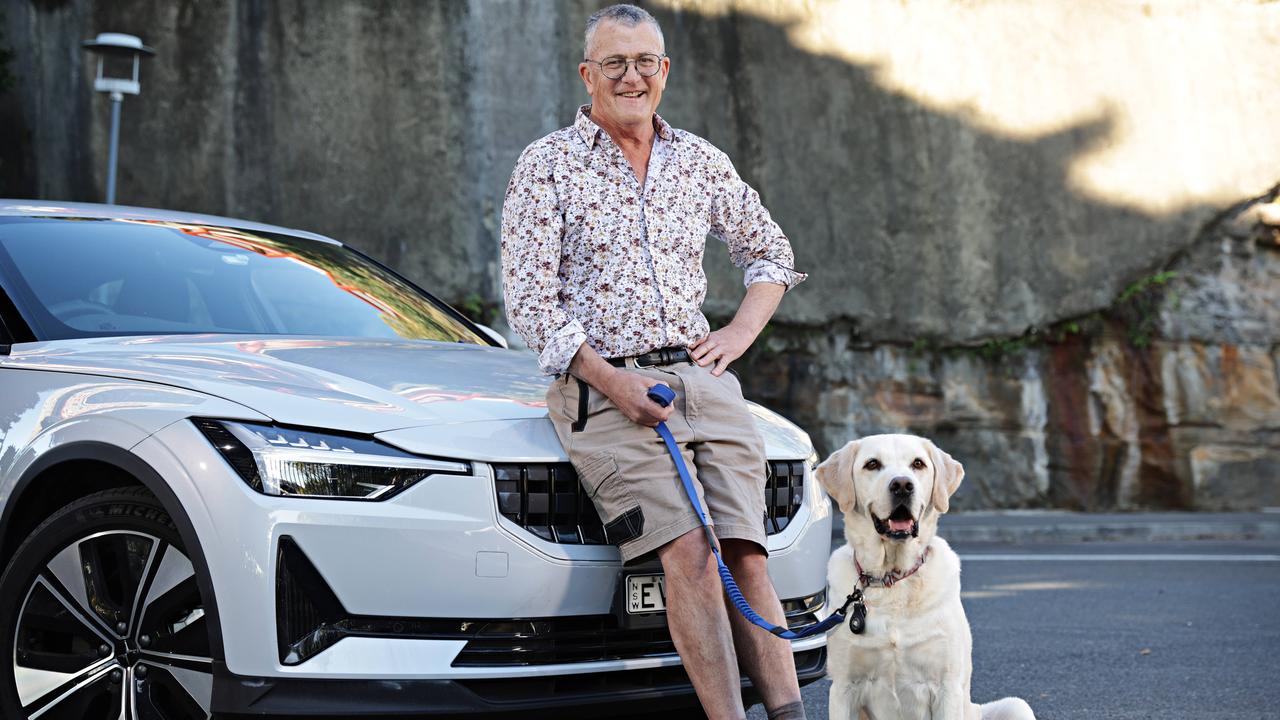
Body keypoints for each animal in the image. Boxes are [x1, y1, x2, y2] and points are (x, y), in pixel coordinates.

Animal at [814, 430, 1034, 717]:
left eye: (918, 464)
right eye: (872, 464)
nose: (902, 485)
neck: (892, 577)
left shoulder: (946, 687)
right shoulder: (843, 688)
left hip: (1015, 705)